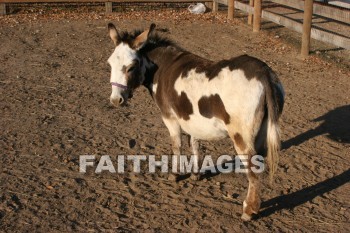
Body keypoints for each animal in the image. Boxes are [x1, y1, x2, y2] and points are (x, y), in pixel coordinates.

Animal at [106, 22, 284, 220]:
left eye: (131, 67)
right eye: (110, 64)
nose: (116, 100)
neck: (163, 67)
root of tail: (263, 72)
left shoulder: (170, 118)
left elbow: (177, 146)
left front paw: (174, 174)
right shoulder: (192, 120)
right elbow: (194, 144)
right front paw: (195, 174)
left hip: (241, 137)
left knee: (253, 170)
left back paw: (248, 211)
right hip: (260, 133)